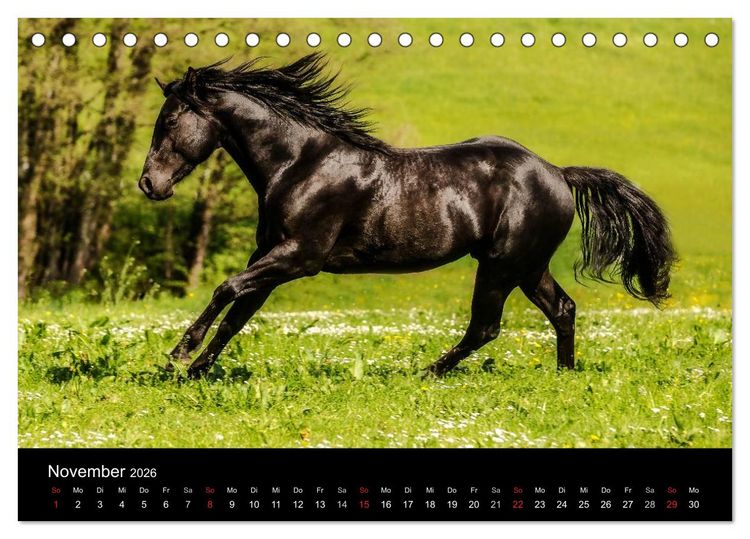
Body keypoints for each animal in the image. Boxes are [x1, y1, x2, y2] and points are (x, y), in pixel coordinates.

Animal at [139, 53, 676, 379]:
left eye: (169, 121)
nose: (149, 184)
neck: (301, 163)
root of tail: (558, 173)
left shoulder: (298, 258)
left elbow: (225, 289)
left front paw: (178, 355)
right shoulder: (271, 258)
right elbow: (237, 315)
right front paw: (192, 373)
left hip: (502, 265)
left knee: (486, 327)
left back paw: (427, 373)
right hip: (527, 266)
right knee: (562, 309)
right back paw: (564, 374)